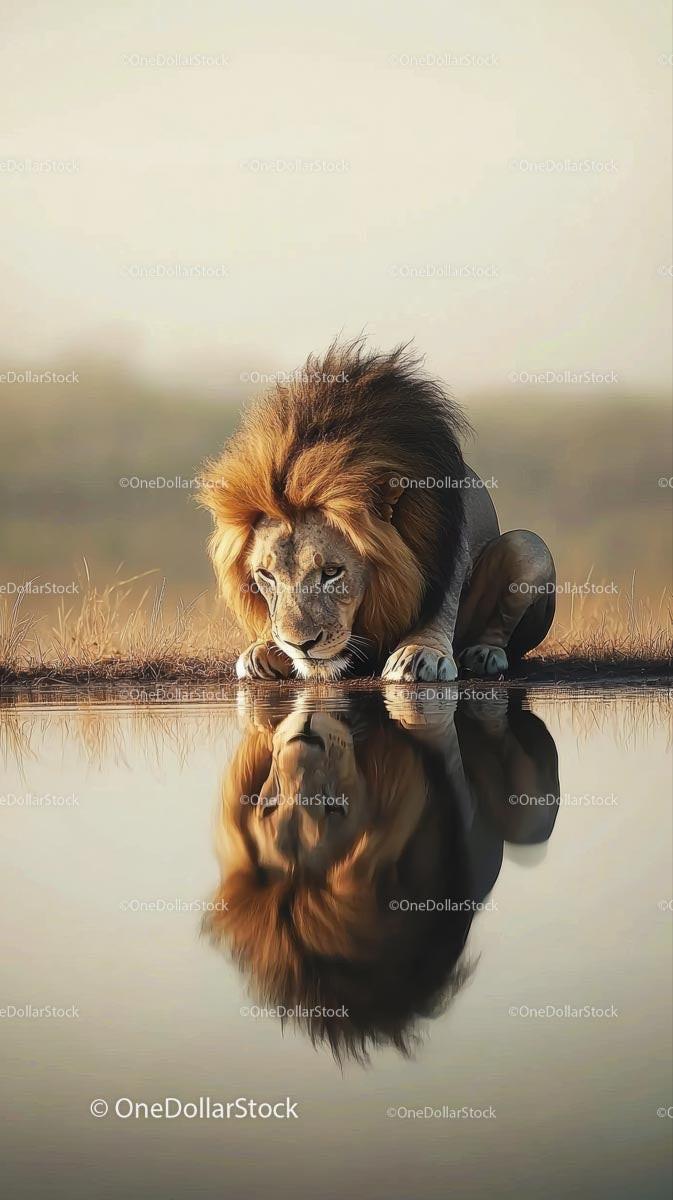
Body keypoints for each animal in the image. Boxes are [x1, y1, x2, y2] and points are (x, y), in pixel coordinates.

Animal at [198, 340, 555, 681]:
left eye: (332, 572)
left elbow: (443, 604)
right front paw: (263, 649)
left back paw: (484, 653)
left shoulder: (449, 540)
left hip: (528, 545)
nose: (301, 645)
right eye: (266, 575)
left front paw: (420, 652)